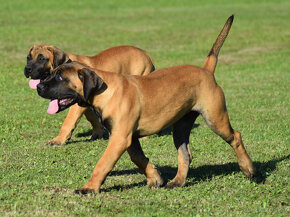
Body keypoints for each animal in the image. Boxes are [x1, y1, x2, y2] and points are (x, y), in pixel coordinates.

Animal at [24, 45, 155, 145]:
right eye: (28, 58)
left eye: (42, 59)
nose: (27, 69)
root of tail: (146, 54)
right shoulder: (86, 103)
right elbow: (92, 118)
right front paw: (98, 134)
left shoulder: (76, 107)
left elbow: (68, 122)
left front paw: (58, 140)